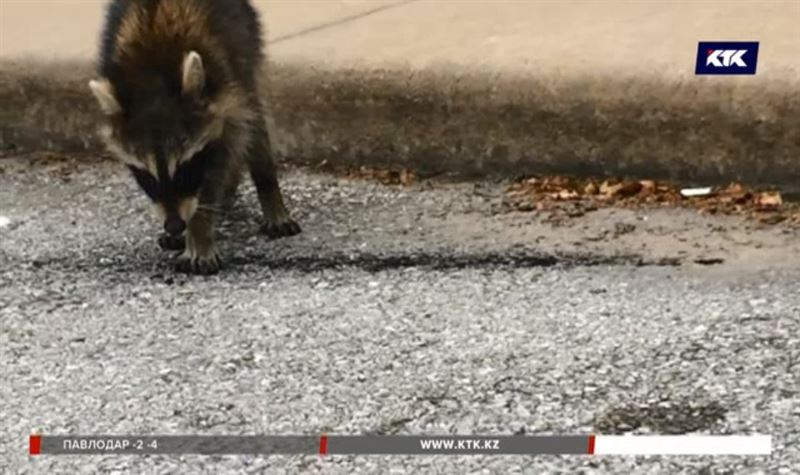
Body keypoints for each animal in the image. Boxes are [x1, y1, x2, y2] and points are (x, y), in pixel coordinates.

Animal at [88, 0, 300, 276]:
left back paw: (269, 193)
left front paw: (199, 231)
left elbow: (216, 170)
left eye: (184, 168)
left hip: (246, 48)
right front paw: (185, 229)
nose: (175, 224)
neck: (151, 70)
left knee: (256, 126)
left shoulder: (227, 94)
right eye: (147, 176)